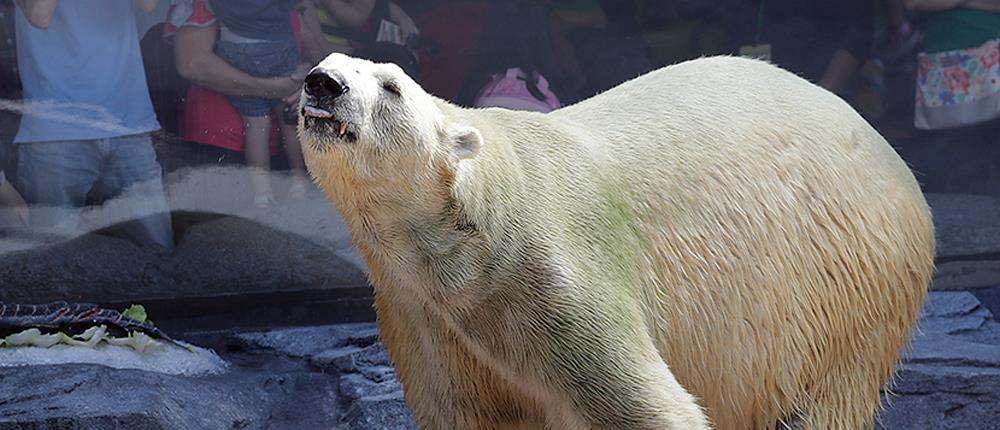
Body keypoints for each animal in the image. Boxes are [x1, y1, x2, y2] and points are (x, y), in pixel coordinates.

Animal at [296, 53, 936, 430]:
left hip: (847, 289)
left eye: (391, 86)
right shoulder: (422, 315)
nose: (322, 84)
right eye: (328, 63)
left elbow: (648, 406)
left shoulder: (553, 279)